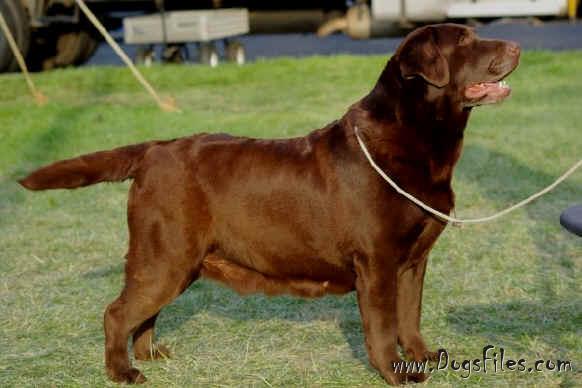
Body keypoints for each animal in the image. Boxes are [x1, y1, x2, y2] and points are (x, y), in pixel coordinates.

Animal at [19, 24, 520, 384]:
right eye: (465, 41)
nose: (516, 45)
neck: (418, 142)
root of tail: (154, 149)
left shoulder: (414, 260)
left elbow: (409, 316)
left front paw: (421, 356)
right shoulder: (377, 261)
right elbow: (382, 326)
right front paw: (397, 374)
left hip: (176, 259)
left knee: (144, 312)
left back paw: (152, 354)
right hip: (165, 253)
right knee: (117, 312)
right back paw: (122, 371)